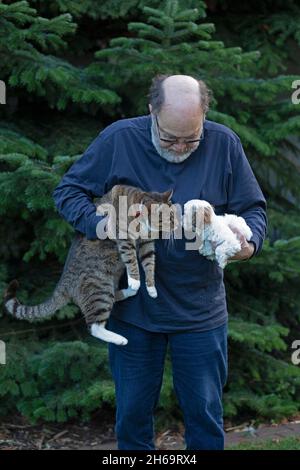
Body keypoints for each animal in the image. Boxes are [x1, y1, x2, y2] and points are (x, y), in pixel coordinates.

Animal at [3, 184, 175, 346]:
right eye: (170, 218)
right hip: (100, 289)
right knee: (94, 327)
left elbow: (149, 262)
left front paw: (151, 288)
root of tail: (64, 282)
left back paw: (129, 291)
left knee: (112, 298)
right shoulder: (123, 236)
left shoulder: (146, 242)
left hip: (106, 285)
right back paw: (119, 337)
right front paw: (135, 279)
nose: (177, 225)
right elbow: (131, 258)